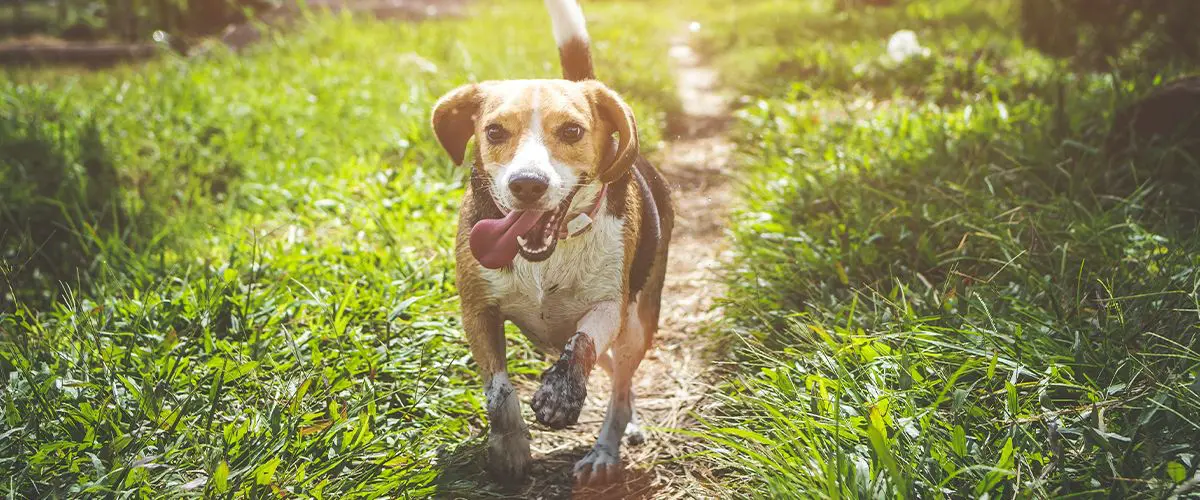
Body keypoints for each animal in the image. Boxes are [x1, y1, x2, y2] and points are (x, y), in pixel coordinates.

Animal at [432, 0, 676, 484]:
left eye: (572, 132)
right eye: (494, 132)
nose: (527, 184)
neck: (548, 254)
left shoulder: (608, 306)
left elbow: (581, 343)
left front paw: (560, 394)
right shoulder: (477, 311)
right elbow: (498, 391)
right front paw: (509, 448)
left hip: (636, 326)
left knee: (619, 388)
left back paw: (605, 451)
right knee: (618, 380)